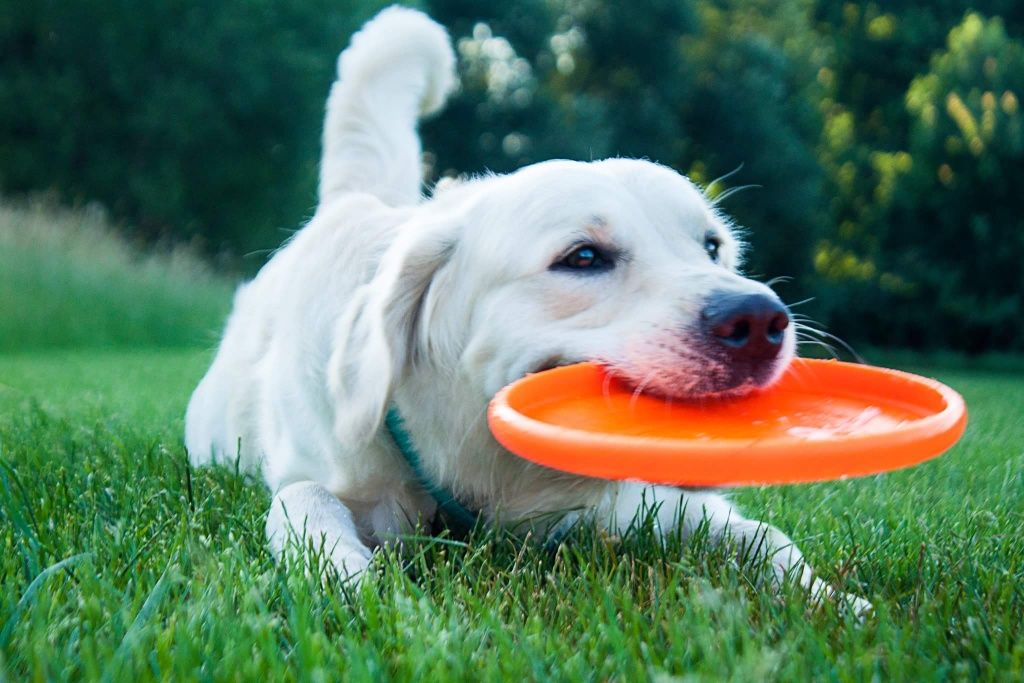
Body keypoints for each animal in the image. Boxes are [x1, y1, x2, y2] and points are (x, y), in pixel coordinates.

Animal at [186, 3, 872, 614]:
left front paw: (840, 603)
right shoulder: (331, 474)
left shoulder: (652, 504)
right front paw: (354, 583)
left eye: (713, 249)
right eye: (583, 257)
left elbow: (766, 538)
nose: (760, 320)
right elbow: (301, 503)